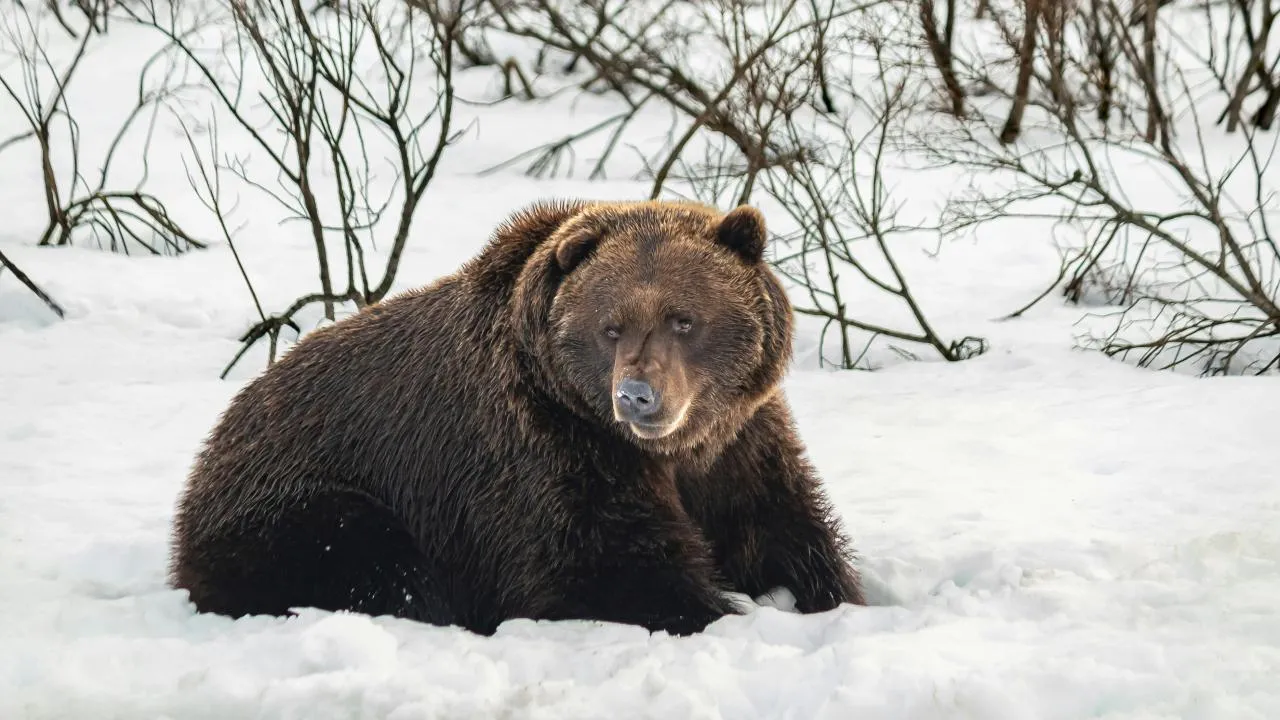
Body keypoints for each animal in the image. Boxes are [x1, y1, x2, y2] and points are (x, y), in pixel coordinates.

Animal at [170, 196, 865, 632]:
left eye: (683, 318)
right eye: (610, 327)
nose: (637, 395)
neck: (667, 451)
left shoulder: (739, 443)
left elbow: (785, 529)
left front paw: (833, 597)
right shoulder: (546, 449)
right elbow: (602, 566)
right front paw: (715, 610)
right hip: (303, 500)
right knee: (374, 559)